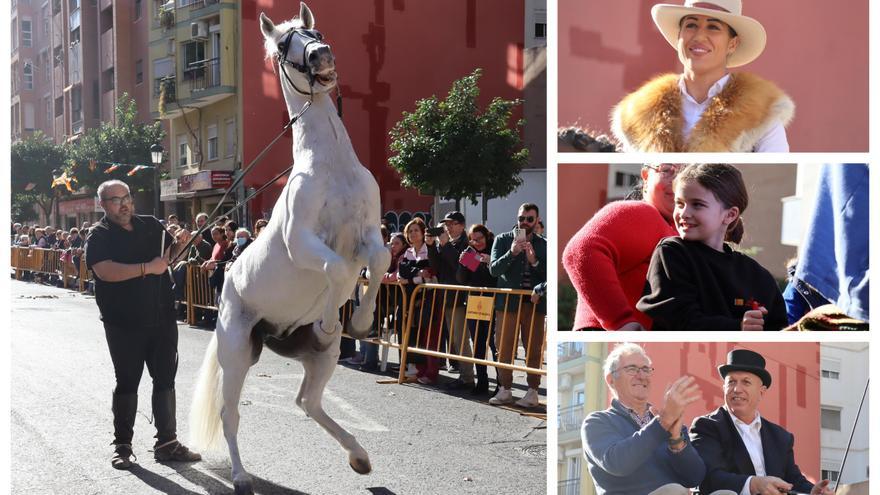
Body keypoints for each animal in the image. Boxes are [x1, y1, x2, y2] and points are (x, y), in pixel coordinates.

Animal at [191, 2, 390, 492]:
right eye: (284, 44)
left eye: (313, 30)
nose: (321, 55)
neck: (331, 166)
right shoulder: (302, 241)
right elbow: (338, 269)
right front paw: (332, 319)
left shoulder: (369, 233)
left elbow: (379, 260)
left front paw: (360, 320)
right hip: (236, 351)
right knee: (230, 413)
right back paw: (241, 475)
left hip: (320, 360)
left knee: (306, 402)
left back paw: (359, 456)